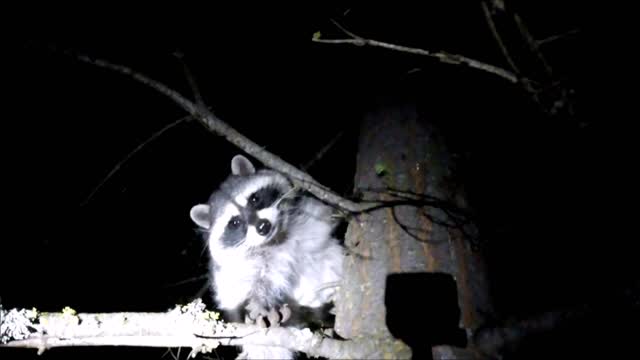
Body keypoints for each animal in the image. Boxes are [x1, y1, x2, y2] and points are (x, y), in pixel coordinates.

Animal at [188, 154, 342, 358]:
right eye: (235, 222)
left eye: (254, 199)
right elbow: (254, 285)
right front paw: (260, 307)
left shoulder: (310, 214)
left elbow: (325, 217)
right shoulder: (240, 265)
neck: (275, 238)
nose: (263, 226)